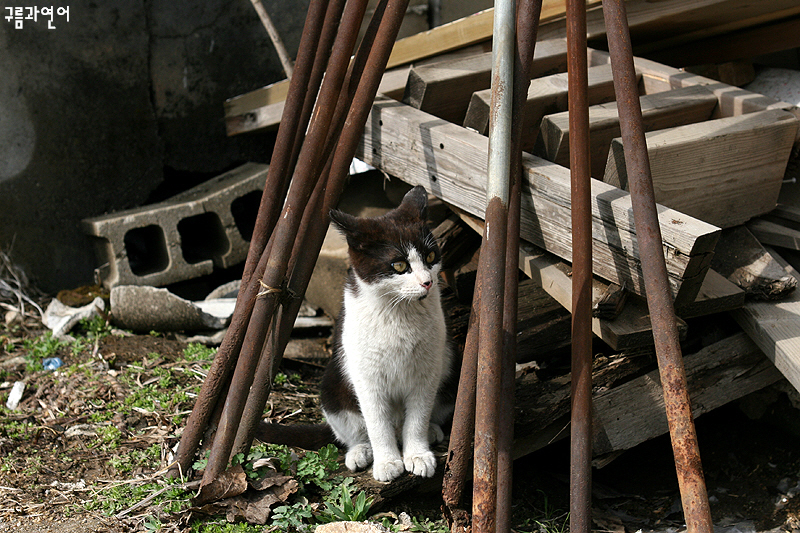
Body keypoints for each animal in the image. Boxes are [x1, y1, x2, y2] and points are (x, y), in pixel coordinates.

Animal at [320, 186, 456, 482]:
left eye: (430, 257)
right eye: (399, 266)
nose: (427, 282)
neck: (399, 312)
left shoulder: (428, 370)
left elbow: (418, 415)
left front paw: (417, 455)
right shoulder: (366, 376)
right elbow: (376, 422)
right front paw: (387, 462)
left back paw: (430, 431)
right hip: (331, 388)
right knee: (356, 429)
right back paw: (361, 451)